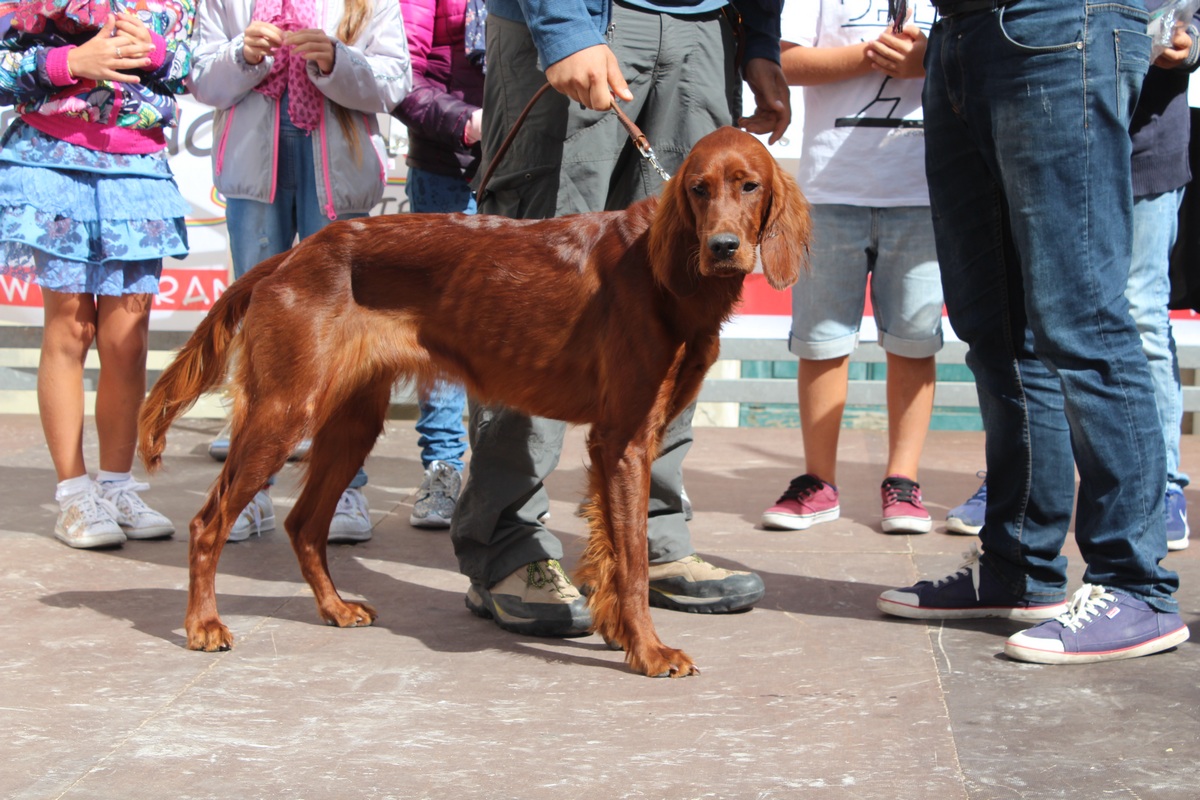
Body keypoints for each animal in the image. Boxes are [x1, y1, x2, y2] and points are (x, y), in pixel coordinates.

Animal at [138, 125, 811, 677]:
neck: (666, 270)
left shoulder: (624, 442)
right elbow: (635, 561)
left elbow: (613, 555)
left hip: (352, 421)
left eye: (749, 186)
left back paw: (334, 607)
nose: (723, 246)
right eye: (698, 189)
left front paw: (619, 633)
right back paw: (203, 625)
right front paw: (648, 651)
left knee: (304, 523)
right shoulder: (624, 440)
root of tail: (292, 256)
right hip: (285, 412)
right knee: (208, 522)